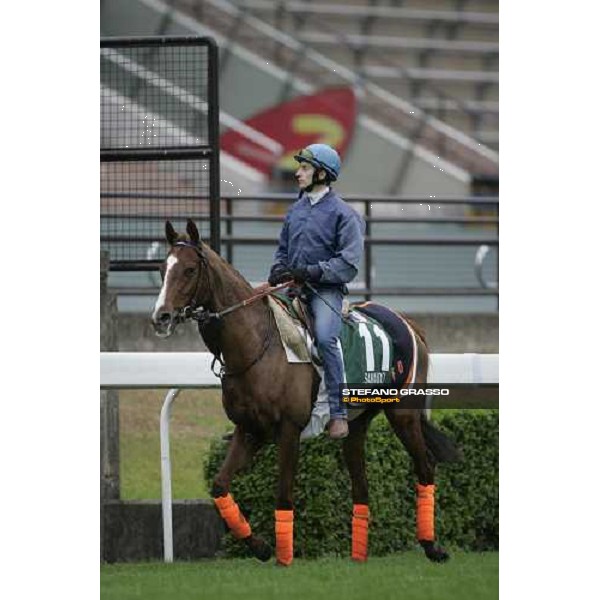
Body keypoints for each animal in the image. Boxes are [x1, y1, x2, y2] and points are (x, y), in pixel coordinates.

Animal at [150, 218, 460, 564]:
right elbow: (219, 486)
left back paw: (432, 546)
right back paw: (358, 556)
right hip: (355, 425)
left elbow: (283, 494)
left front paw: (284, 558)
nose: (161, 317)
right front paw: (260, 547)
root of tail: (408, 323)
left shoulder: (289, 428)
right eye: (162, 268)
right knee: (361, 484)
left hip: (403, 413)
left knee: (425, 466)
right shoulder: (249, 430)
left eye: (190, 269)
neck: (258, 346)